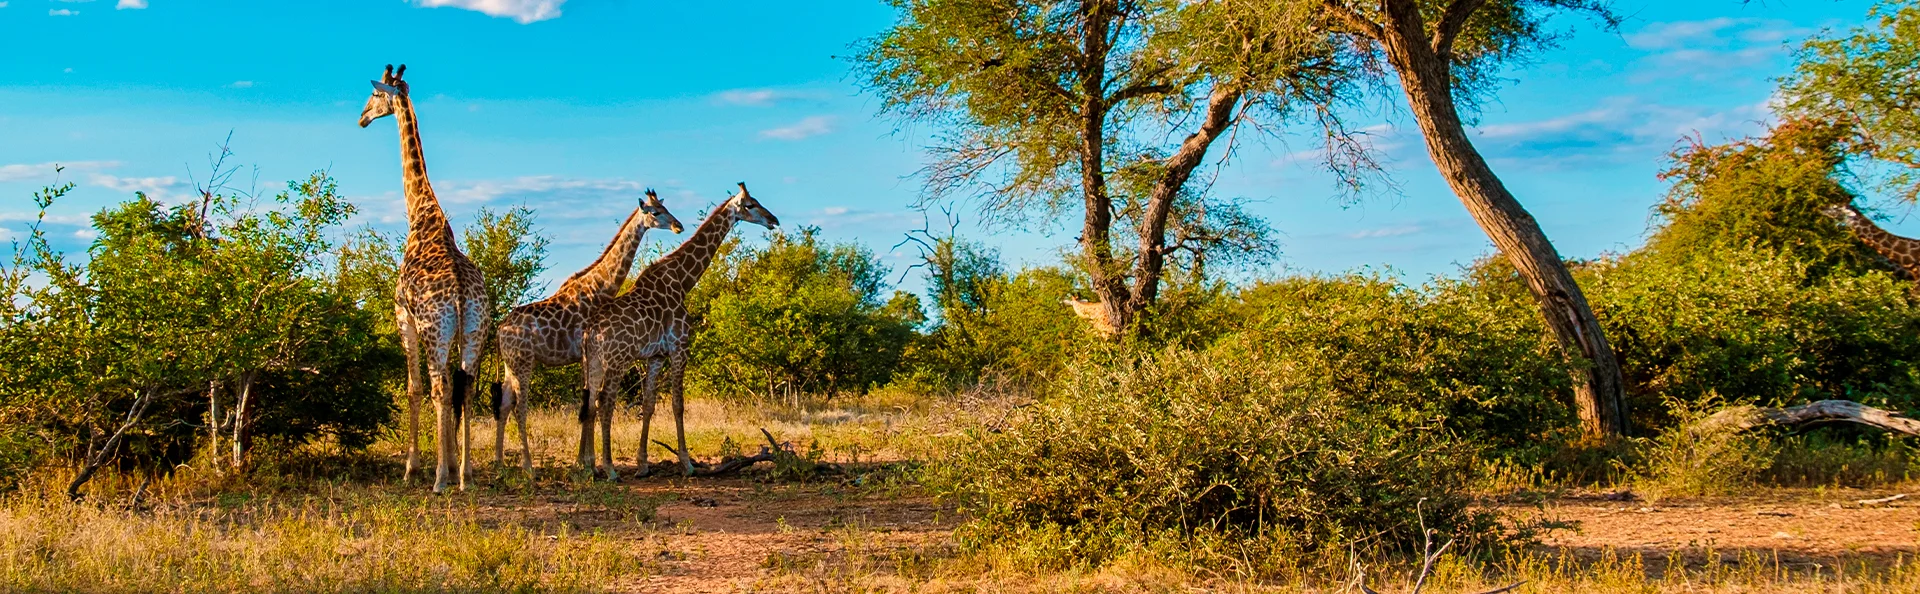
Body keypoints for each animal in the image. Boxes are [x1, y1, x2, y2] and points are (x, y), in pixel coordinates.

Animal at [359, 64, 492, 493]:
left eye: (375, 95)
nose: (362, 118)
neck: (422, 213)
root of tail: (463, 297)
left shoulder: (403, 317)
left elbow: (413, 389)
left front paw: (413, 467)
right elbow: (453, 391)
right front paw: (451, 464)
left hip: (435, 331)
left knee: (438, 388)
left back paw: (437, 479)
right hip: (474, 332)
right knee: (465, 388)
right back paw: (465, 475)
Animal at [492, 190, 683, 476]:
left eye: (665, 206)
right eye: (656, 211)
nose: (678, 226)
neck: (600, 287)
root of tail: (500, 330)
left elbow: (586, 404)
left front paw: (582, 461)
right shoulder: (586, 352)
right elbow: (589, 404)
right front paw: (588, 463)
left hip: (510, 364)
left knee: (504, 405)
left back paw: (500, 463)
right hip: (523, 362)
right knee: (520, 406)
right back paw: (528, 467)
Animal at [579, 183, 778, 478]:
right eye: (751, 205)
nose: (773, 220)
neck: (683, 281)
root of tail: (591, 330)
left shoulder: (656, 356)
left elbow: (649, 404)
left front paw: (643, 465)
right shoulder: (680, 347)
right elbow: (678, 404)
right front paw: (686, 463)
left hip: (592, 361)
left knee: (591, 402)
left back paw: (591, 467)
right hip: (617, 360)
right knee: (605, 402)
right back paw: (610, 469)